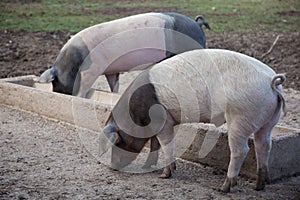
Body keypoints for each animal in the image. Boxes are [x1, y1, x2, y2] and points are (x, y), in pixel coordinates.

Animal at [38, 11, 209, 97]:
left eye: (55, 82)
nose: (57, 93)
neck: (72, 62)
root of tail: (197, 24)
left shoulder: (92, 69)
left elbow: (83, 87)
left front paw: (77, 97)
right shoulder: (111, 71)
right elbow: (114, 85)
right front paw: (115, 95)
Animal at [99, 48, 286, 192]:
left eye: (119, 141)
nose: (113, 167)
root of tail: (271, 81)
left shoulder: (163, 120)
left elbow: (166, 144)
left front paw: (164, 175)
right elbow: (155, 144)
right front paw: (148, 167)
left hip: (240, 117)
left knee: (241, 150)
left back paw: (224, 188)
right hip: (269, 121)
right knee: (264, 146)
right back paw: (259, 186)